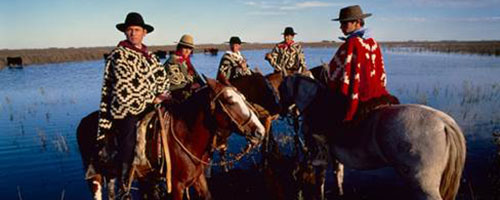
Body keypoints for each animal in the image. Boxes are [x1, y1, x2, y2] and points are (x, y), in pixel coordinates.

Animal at [76, 78, 266, 200]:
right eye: (229, 101)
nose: (260, 131)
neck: (186, 136)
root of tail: (83, 122)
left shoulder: (198, 178)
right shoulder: (176, 186)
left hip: (112, 175)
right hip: (95, 177)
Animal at [280, 75, 466, 200]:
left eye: (281, 88)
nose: (281, 111)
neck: (316, 104)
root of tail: (443, 122)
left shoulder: (319, 158)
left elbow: (320, 183)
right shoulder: (335, 158)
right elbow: (338, 176)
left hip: (425, 186)